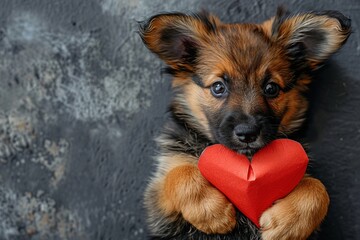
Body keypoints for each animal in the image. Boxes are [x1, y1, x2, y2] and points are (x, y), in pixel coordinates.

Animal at [139, 7, 350, 240]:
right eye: (218, 87)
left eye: (271, 88)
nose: (247, 133)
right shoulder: (158, 199)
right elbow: (179, 174)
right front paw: (212, 213)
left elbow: (317, 188)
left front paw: (286, 227)